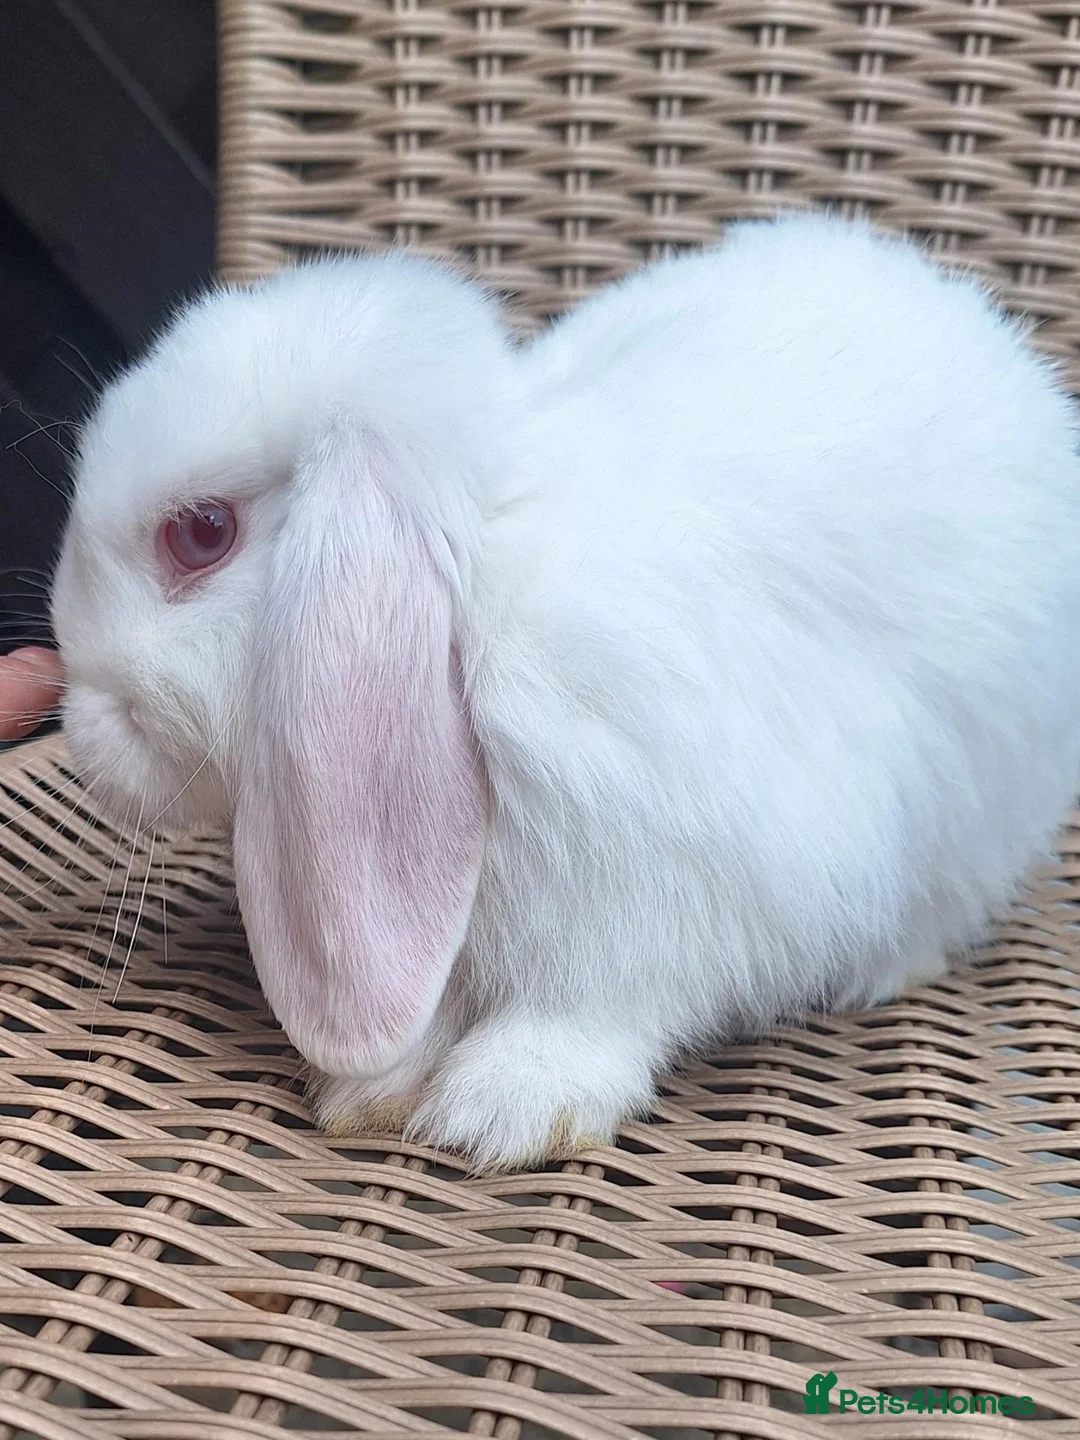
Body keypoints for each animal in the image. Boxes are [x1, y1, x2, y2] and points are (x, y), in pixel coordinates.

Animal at [51, 212, 1080, 1172]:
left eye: (202, 532)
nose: (79, 724)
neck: (480, 592)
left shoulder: (665, 880)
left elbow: (594, 1002)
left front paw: (502, 1109)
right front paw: (378, 1085)